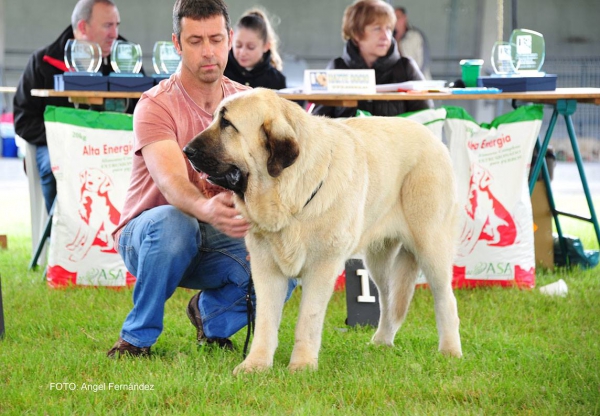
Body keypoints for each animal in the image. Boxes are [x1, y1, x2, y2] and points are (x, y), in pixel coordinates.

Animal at [185, 88, 462, 374]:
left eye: (227, 123)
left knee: (445, 299)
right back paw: (382, 342)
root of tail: (431, 137)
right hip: (378, 263)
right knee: (388, 299)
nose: (187, 151)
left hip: (431, 245)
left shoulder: (322, 267)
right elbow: (264, 321)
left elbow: (308, 318)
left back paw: (450, 351)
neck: (290, 193)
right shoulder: (265, 267)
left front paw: (302, 365)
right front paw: (256, 364)